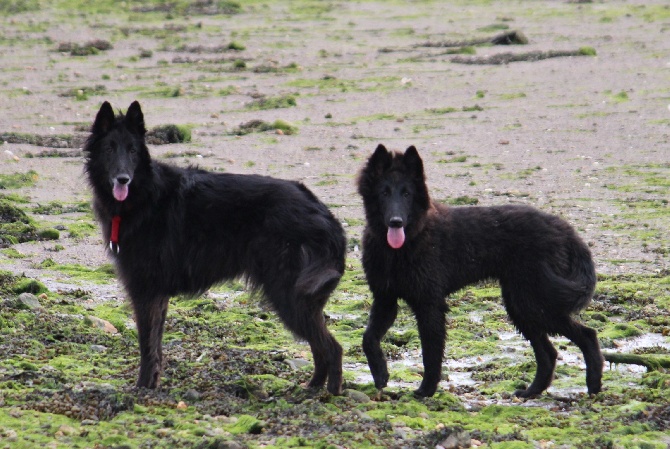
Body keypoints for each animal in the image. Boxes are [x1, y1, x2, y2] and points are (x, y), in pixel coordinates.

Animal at [84, 100, 346, 392]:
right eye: (109, 149)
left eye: (132, 150)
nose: (123, 179)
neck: (144, 195)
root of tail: (322, 212)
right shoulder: (158, 297)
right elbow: (157, 346)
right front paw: (153, 383)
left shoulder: (144, 292)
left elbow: (146, 346)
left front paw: (142, 387)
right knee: (322, 347)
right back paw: (312, 388)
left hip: (288, 296)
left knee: (332, 347)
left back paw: (329, 394)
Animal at [356, 144, 604, 396]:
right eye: (384, 193)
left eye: (407, 194)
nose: (396, 222)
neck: (402, 248)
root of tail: (562, 227)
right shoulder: (385, 299)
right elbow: (368, 338)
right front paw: (380, 373)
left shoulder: (429, 304)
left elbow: (431, 354)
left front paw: (426, 390)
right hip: (521, 305)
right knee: (549, 352)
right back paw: (532, 391)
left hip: (534, 299)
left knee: (587, 334)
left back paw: (593, 384)